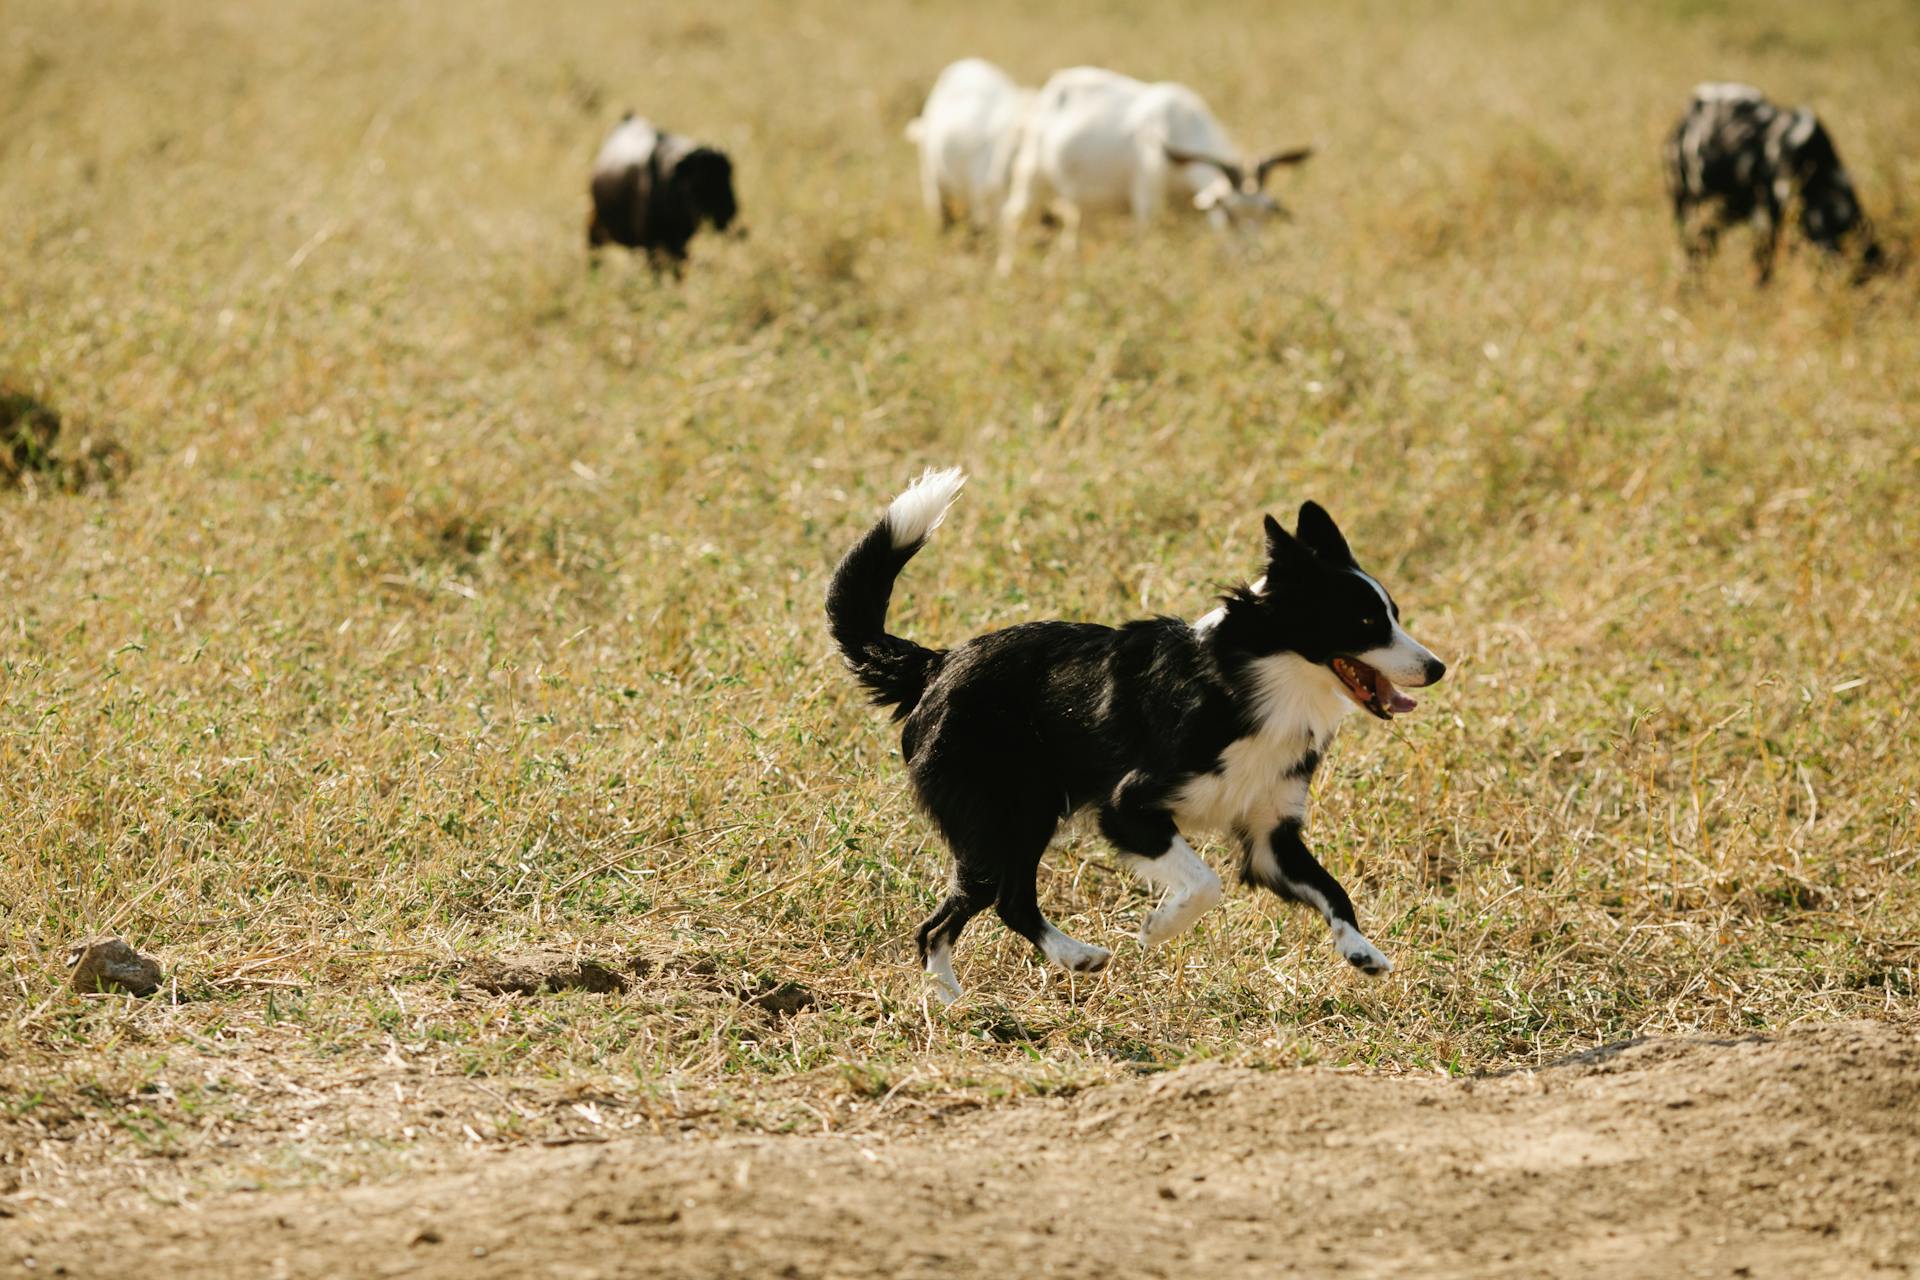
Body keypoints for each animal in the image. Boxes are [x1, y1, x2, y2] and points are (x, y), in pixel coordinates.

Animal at [583, 113, 733, 272]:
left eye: (728, 178)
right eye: (696, 182)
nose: (727, 212)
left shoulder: (678, 243)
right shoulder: (651, 245)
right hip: (595, 226)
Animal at [825, 470, 1443, 997]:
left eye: (1393, 613)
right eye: (1365, 623)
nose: (1437, 668)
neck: (1254, 683)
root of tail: (938, 663)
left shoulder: (1270, 835)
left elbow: (1333, 889)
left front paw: (1360, 949)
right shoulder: (1127, 807)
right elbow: (1205, 882)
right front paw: (1160, 927)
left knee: (979, 910)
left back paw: (996, 988)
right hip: (1012, 812)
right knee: (979, 909)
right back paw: (1016, 978)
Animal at [998, 66, 1313, 272]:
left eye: (1266, 214)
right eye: (1229, 213)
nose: (1251, 257)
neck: (1179, 125)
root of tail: (1053, 87)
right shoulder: (1146, 204)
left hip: (1083, 207)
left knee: (1071, 236)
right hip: (1032, 180)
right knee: (1013, 218)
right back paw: (1006, 270)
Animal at [1674, 84, 1881, 285]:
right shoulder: (1766, 219)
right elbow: (1764, 266)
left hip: (1724, 212)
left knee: (1705, 242)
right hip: (1688, 207)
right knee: (1692, 245)